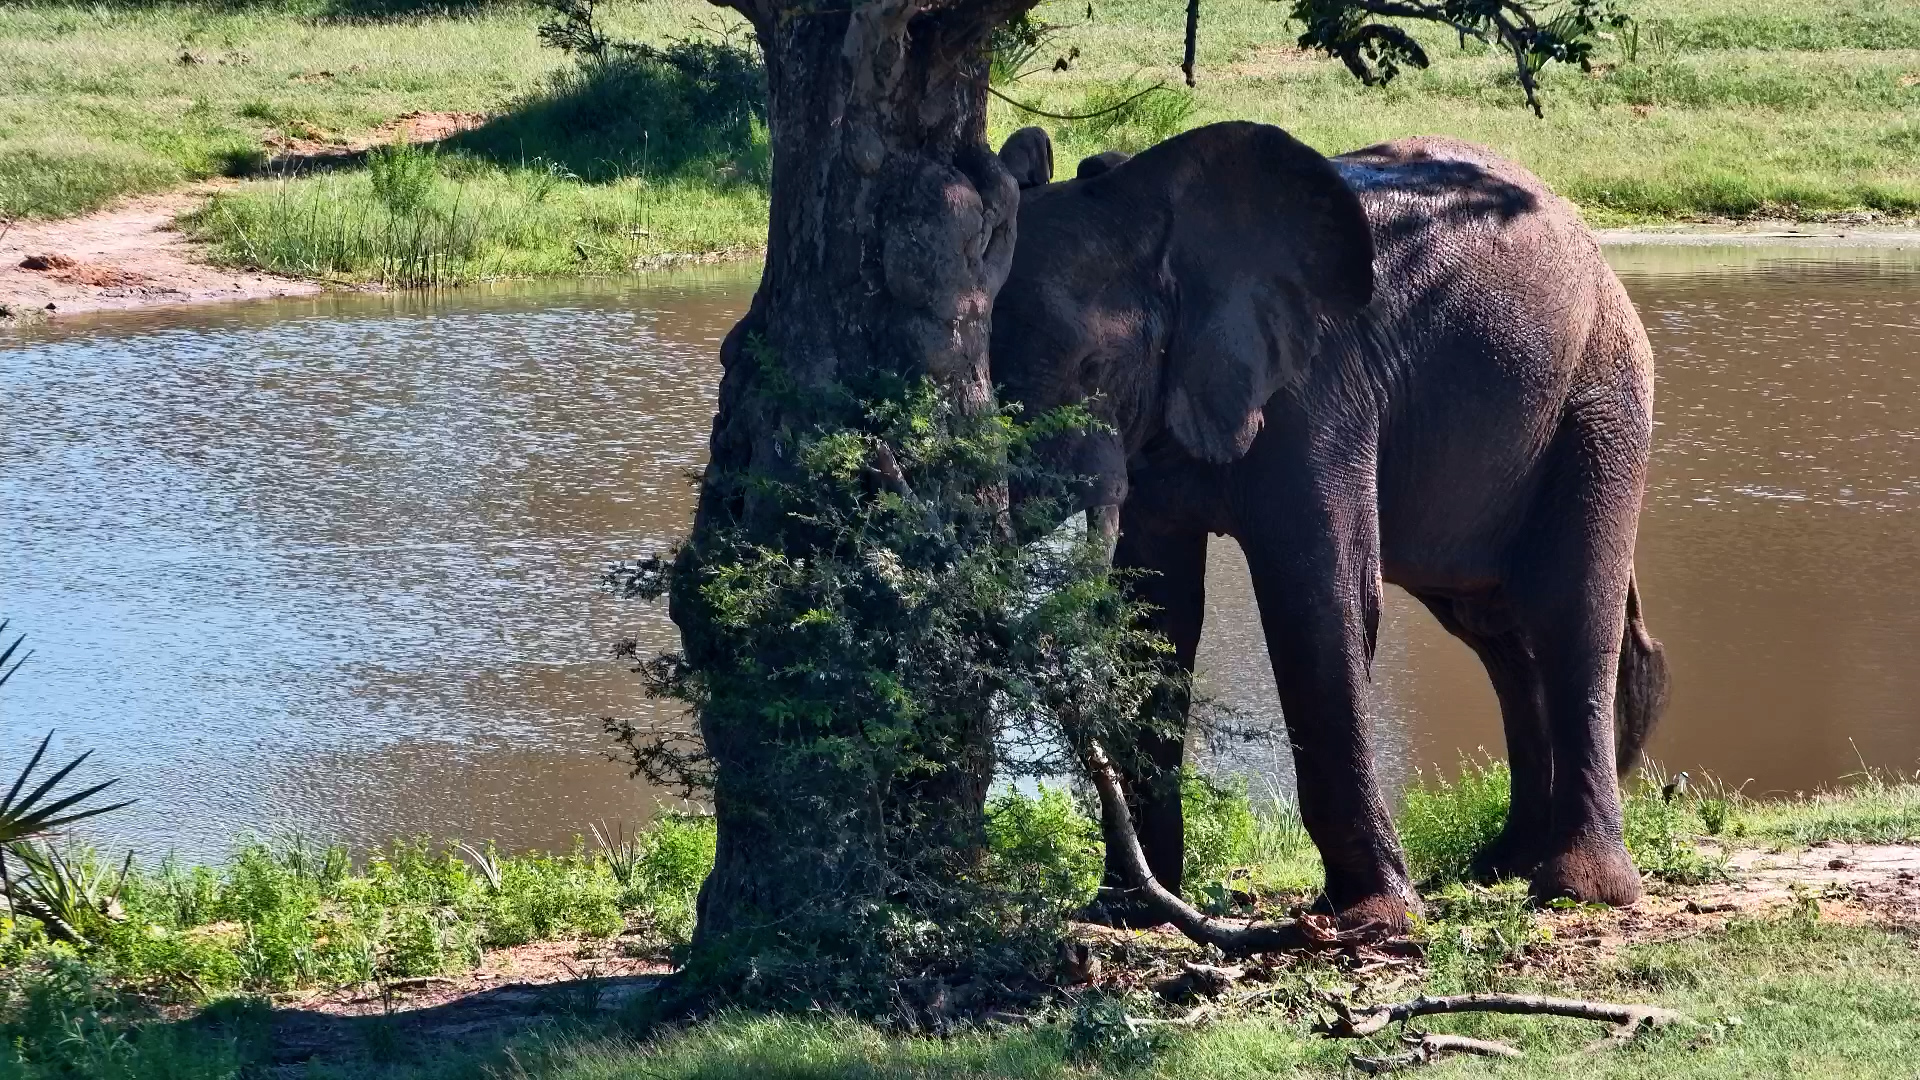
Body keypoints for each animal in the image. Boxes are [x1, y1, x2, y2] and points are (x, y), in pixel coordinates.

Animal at [989, 121, 1670, 930]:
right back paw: (1500, 865)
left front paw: (1375, 922)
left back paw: (1577, 890)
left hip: (1601, 395)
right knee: (1497, 633)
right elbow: (1156, 612)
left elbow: (1316, 597)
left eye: (1095, 369)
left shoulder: (1317, 390)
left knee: (1569, 614)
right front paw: (1126, 911)